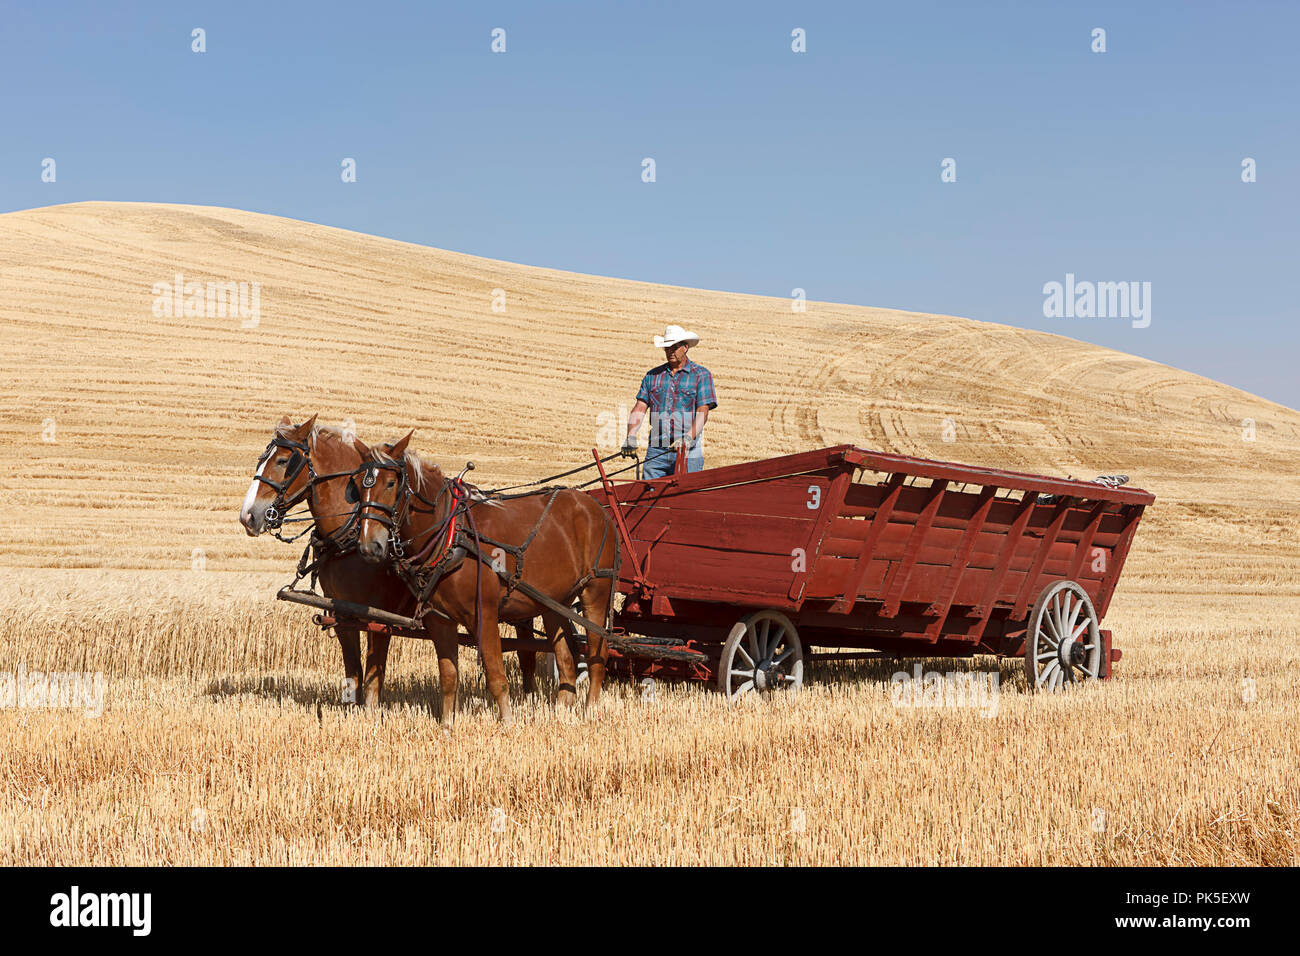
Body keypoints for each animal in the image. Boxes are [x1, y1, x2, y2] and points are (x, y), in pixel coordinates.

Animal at [353, 434, 616, 723]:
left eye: (391, 483)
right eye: (356, 485)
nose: (369, 545)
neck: (451, 536)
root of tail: (596, 507)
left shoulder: (484, 615)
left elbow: (496, 676)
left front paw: (508, 722)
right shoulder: (440, 619)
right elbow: (448, 677)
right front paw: (447, 725)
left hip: (596, 590)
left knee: (597, 654)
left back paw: (591, 710)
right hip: (555, 603)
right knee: (567, 662)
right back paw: (560, 713)